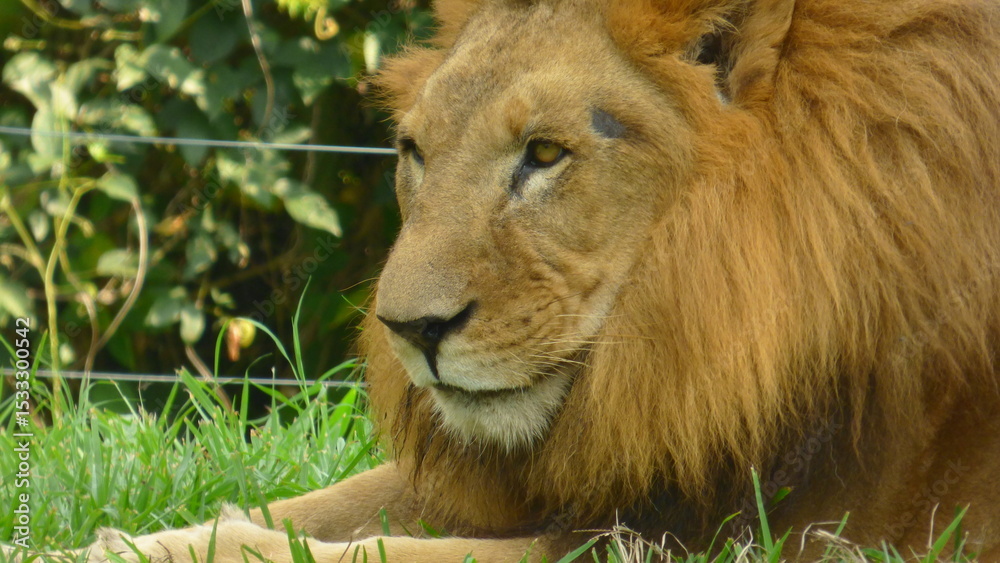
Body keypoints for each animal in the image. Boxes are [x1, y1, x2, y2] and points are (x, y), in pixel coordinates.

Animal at [50, 0, 1000, 561]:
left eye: (544, 153)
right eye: (415, 151)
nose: (411, 332)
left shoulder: (723, 536)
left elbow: (389, 551)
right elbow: (315, 503)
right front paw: (115, 542)